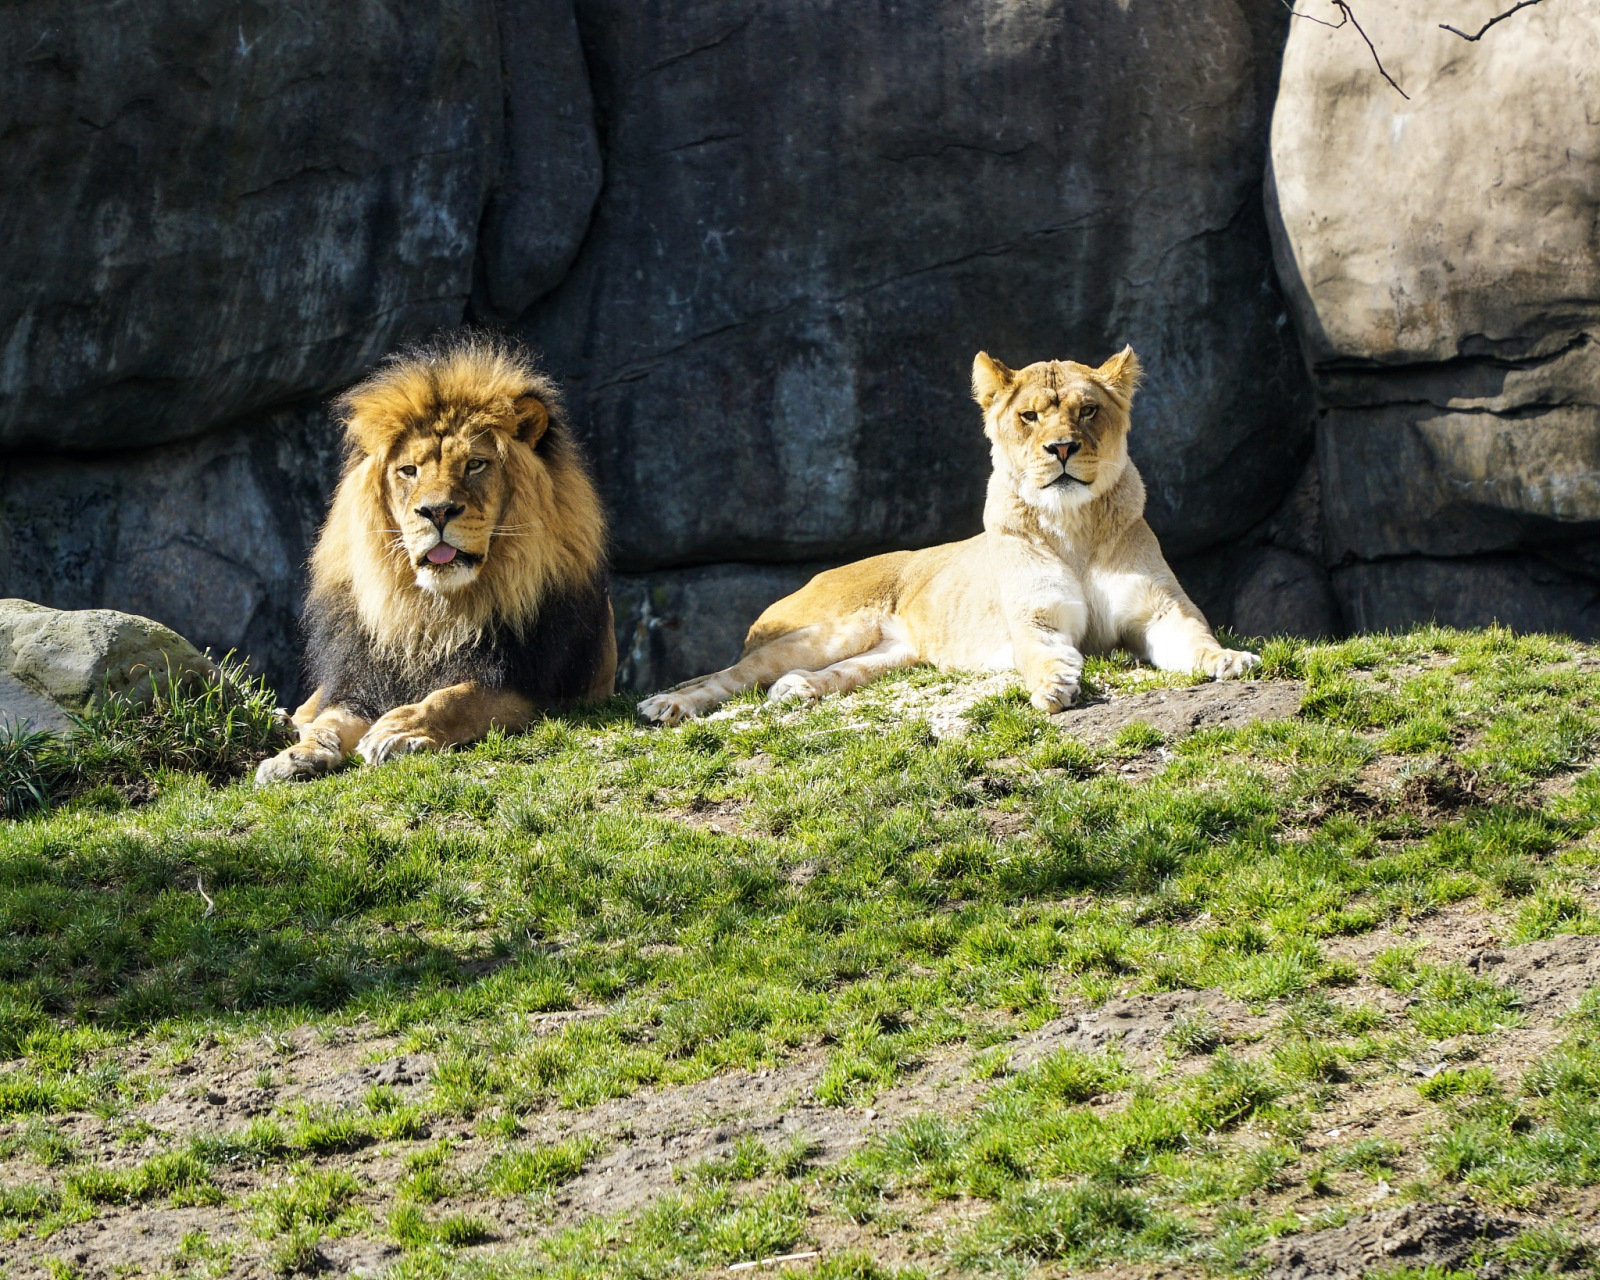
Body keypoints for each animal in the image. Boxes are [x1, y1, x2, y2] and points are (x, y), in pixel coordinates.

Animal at [259, 334, 614, 784]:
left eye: (475, 464)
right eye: (409, 470)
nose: (437, 511)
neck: (431, 611)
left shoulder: (527, 685)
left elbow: (455, 697)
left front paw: (398, 730)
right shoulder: (359, 680)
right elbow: (329, 720)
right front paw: (295, 756)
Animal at [640, 347, 1260, 729]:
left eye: (1087, 411)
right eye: (1030, 417)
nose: (1062, 447)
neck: (1072, 525)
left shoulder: (1159, 611)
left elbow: (1197, 636)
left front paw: (1229, 660)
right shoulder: (1034, 617)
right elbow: (1040, 652)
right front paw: (1053, 684)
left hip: (889, 656)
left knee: (818, 676)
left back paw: (796, 690)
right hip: (828, 631)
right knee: (729, 675)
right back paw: (665, 705)